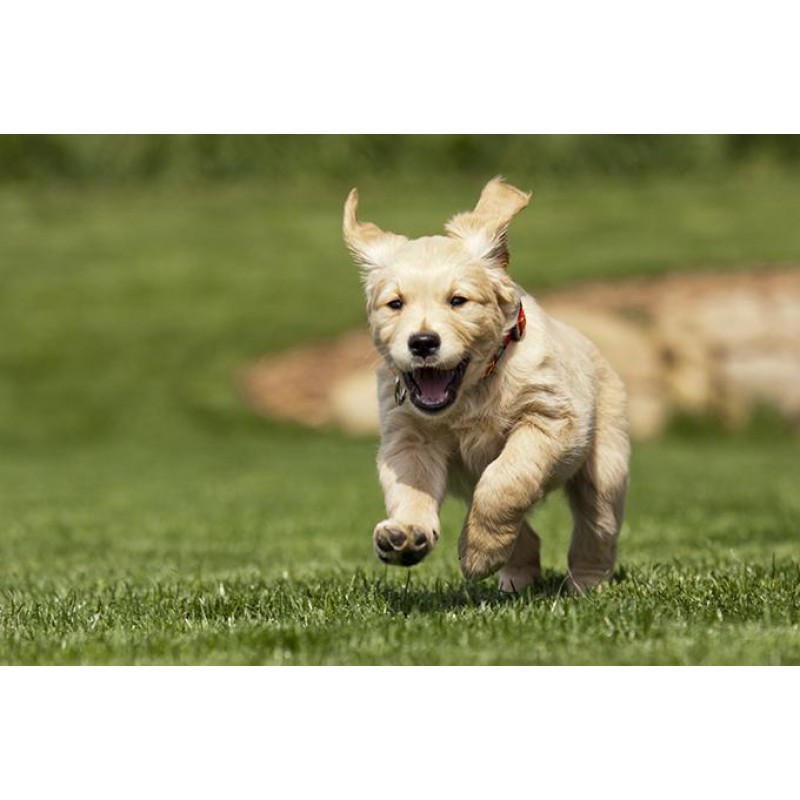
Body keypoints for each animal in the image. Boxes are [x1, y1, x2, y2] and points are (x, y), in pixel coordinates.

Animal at [344, 178, 632, 592]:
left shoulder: (548, 419)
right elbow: (412, 488)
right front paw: (406, 534)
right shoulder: (410, 439)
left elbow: (505, 480)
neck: (473, 390)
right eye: (395, 304)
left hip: (605, 465)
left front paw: (479, 553)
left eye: (458, 301)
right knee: (526, 535)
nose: (422, 343)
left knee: (597, 527)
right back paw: (515, 579)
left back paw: (585, 585)